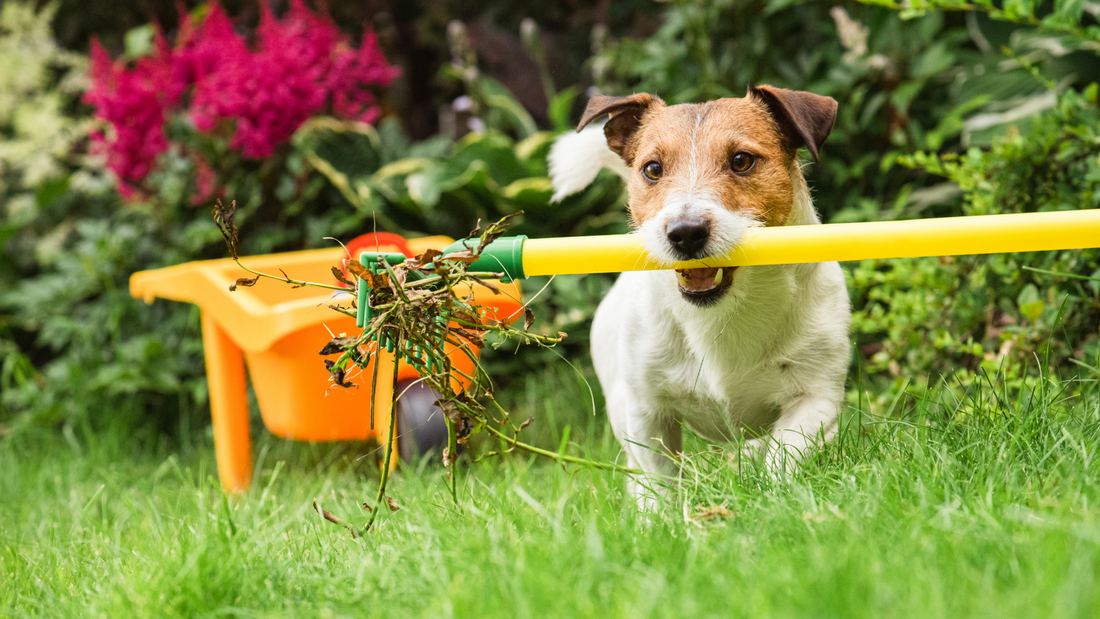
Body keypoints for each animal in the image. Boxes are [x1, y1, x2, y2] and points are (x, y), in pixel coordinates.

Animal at [550, 87, 849, 507]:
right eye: (652, 169)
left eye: (741, 161)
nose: (685, 232)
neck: (722, 315)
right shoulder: (646, 413)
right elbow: (658, 480)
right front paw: (659, 518)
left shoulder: (815, 398)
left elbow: (783, 457)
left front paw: (773, 500)